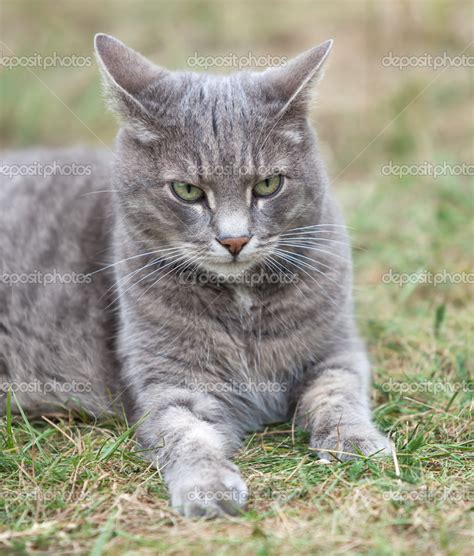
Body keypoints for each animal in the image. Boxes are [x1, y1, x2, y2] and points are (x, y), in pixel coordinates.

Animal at [0, 34, 390, 516]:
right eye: (186, 191)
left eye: (268, 185)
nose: (235, 239)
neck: (243, 300)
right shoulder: (169, 378)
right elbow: (186, 432)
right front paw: (207, 486)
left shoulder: (336, 348)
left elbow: (339, 393)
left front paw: (358, 442)